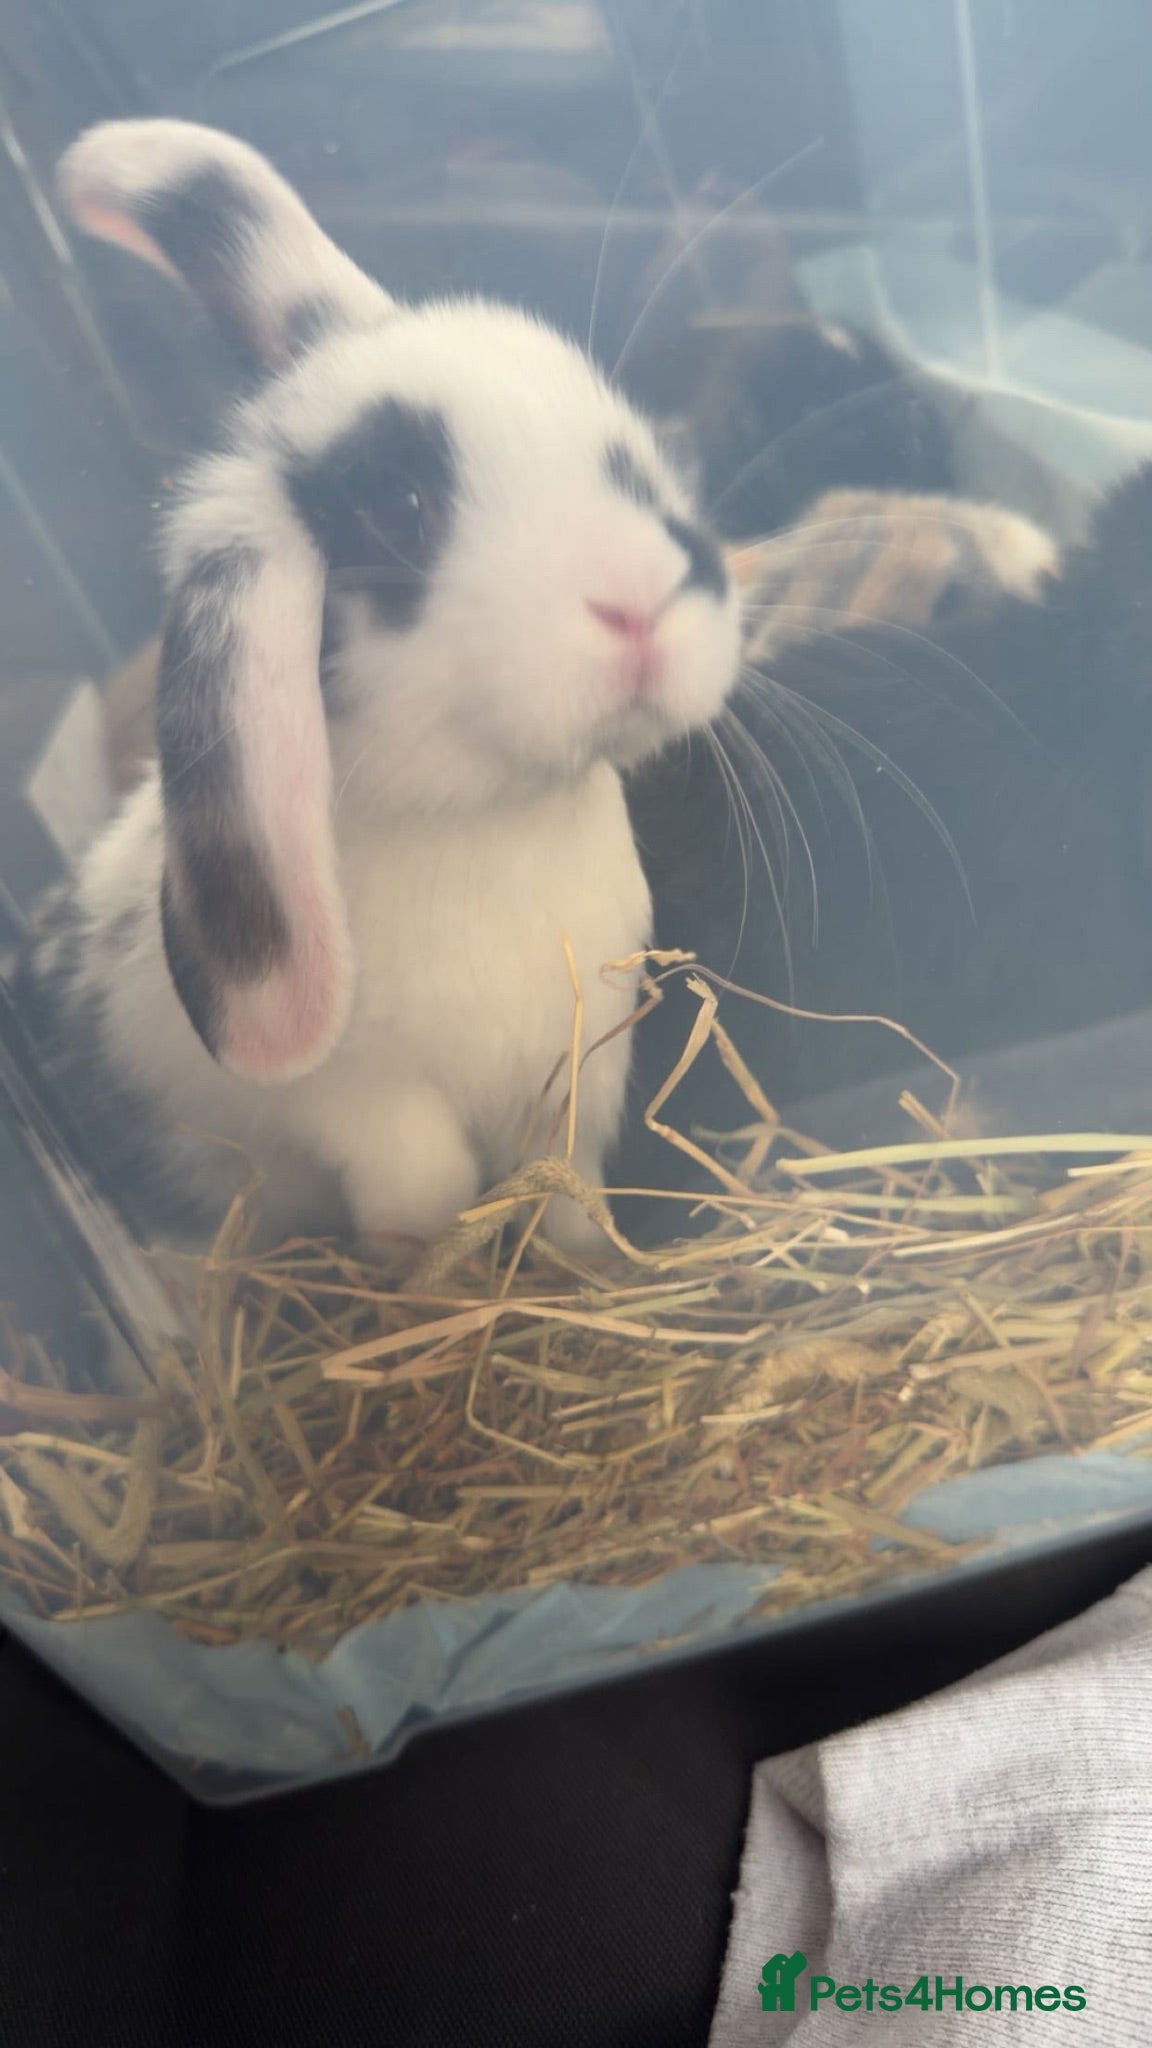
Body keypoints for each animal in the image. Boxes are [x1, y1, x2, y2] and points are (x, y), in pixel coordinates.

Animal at [13, 118, 742, 1259]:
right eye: (399, 509)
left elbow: (567, 1188)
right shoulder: (359, 1101)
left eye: (626, 460)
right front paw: (427, 1262)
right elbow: (426, 1182)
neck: (495, 827)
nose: (642, 603)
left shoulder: (577, 1077)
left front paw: (582, 1263)